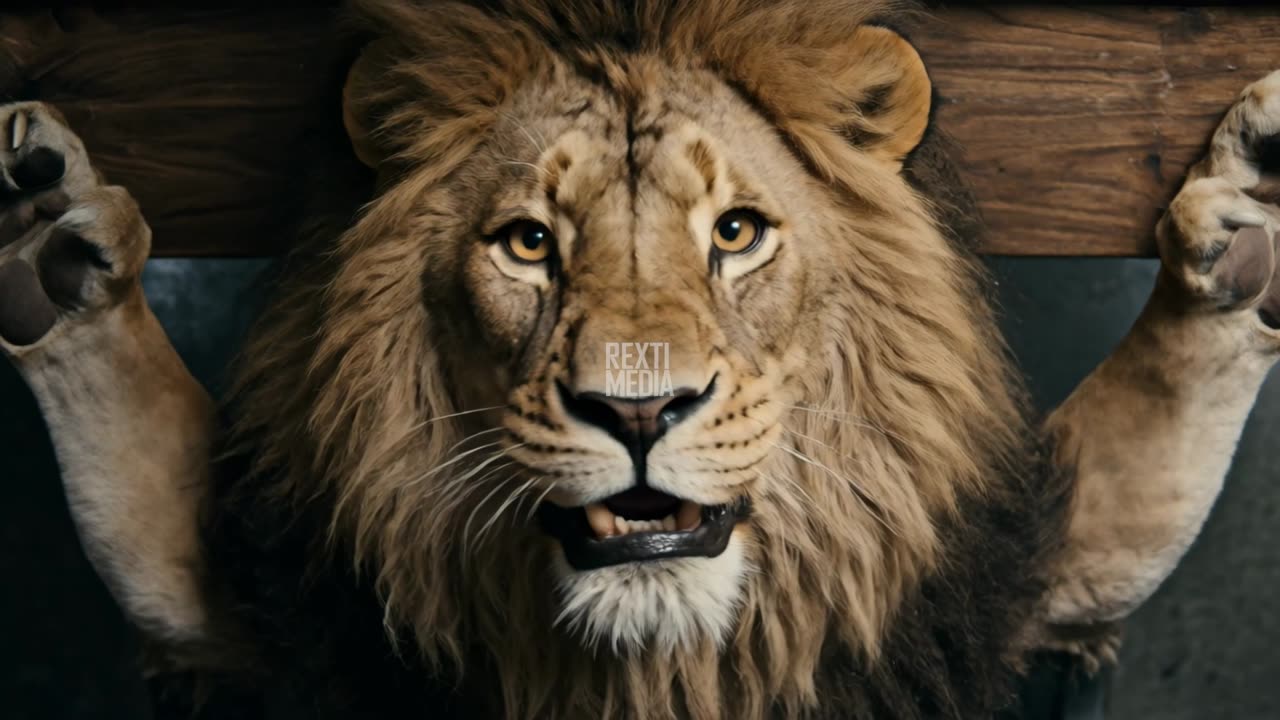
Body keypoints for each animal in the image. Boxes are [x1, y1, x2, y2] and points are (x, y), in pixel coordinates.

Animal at [3, 1, 1279, 718]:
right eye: (528, 244)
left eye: (736, 233)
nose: (635, 413)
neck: (656, 666)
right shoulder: (279, 634)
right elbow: (144, 508)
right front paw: (53, 237)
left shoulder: (998, 625)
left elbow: (1140, 462)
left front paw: (1246, 215)